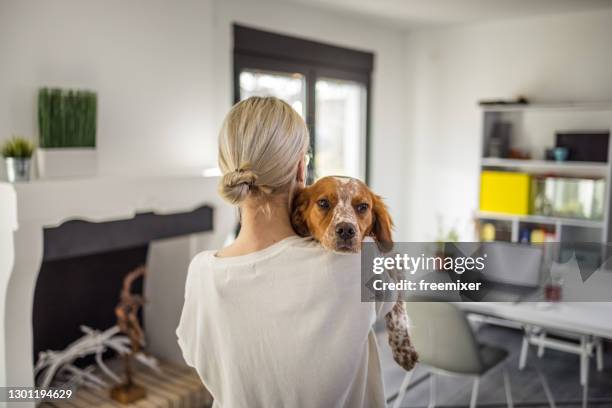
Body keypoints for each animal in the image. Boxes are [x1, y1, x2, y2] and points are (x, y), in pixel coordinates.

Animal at [290, 177, 416, 372]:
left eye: (363, 206)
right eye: (323, 203)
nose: (346, 230)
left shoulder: (395, 262)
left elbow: (399, 312)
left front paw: (404, 349)